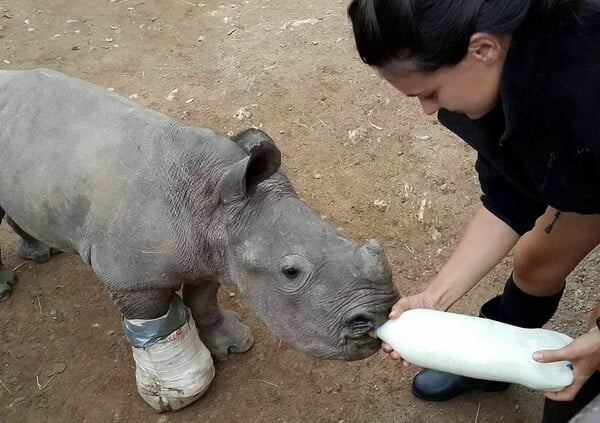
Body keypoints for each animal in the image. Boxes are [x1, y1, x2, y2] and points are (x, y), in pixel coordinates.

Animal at [0, 68, 398, 410]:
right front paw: (175, 388)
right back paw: (7, 287)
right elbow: (154, 320)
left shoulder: (210, 253)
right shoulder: (130, 278)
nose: (381, 311)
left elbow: (203, 299)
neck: (211, 200)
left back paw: (40, 253)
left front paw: (232, 346)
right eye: (290, 272)